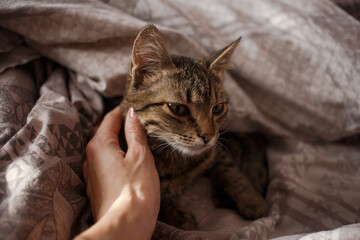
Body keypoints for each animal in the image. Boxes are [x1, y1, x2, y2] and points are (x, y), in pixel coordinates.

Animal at [119, 24, 268, 231]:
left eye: (217, 108)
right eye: (178, 108)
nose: (208, 135)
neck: (176, 158)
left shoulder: (215, 150)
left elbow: (230, 170)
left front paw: (251, 199)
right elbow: (157, 193)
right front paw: (178, 216)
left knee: (254, 138)